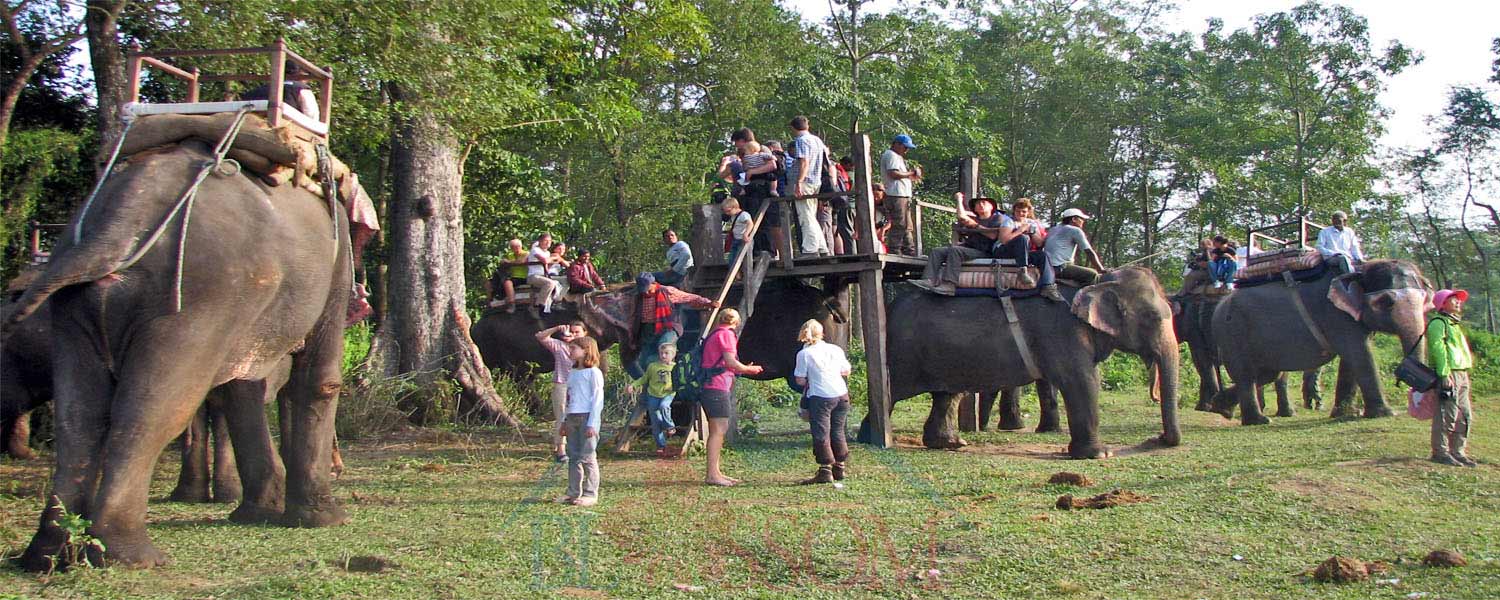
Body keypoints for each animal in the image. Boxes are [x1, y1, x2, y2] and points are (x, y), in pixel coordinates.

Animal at [4, 138, 348, 570]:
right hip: (197, 300)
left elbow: (242, 387)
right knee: (153, 409)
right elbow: (315, 380)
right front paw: (325, 520)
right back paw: (131, 555)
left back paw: (47, 553)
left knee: (81, 416)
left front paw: (260, 513)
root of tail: (117, 226)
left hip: (76, 312)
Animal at [870, 267, 1182, 459]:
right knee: (892, 391)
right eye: (1153, 317)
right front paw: (1100, 454)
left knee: (947, 394)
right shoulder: (1063, 331)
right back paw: (871, 439)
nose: (1157, 438)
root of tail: (890, 307)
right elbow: (1083, 380)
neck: (1099, 281)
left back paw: (952, 444)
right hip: (903, 355)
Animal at [1206, 259, 1428, 423]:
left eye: (1425, 299)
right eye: (1386, 301)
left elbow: (1352, 359)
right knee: (1247, 374)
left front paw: (1346, 414)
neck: (1361, 268)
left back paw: (1221, 408)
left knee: (1265, 374)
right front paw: (1385, 414)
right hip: (1232, 333)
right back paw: (1258, 421)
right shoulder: (1334, 315)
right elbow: (1359, 354)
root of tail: (1219, 307)